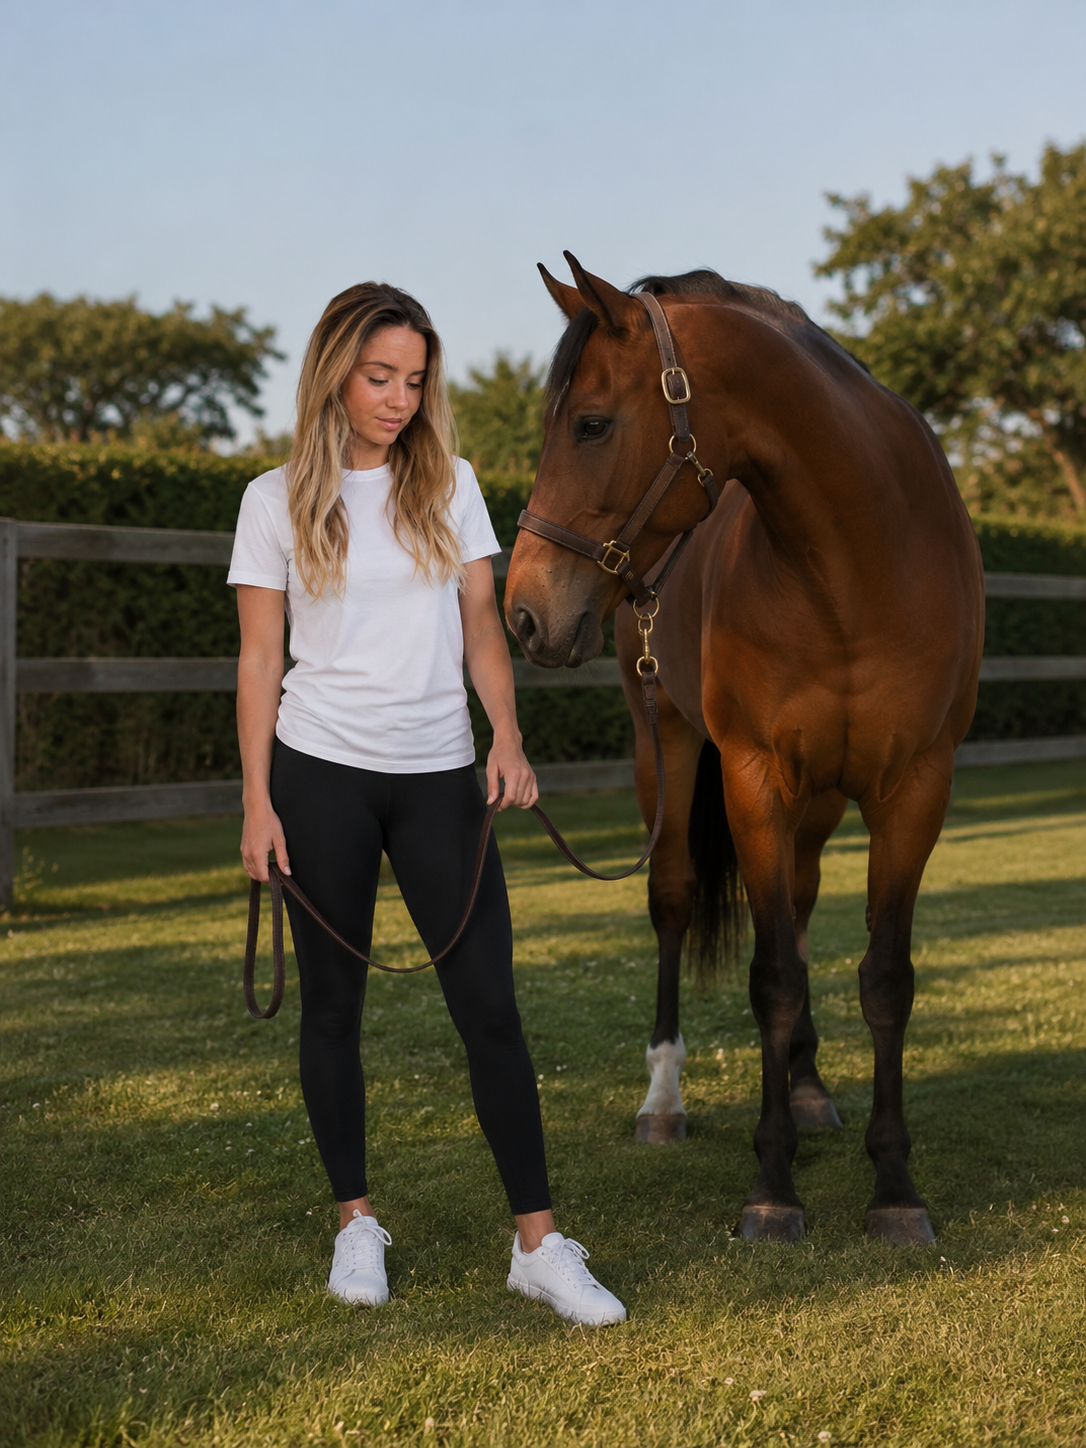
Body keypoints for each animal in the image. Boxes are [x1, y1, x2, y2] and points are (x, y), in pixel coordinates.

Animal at [504, 254, 984, 1245]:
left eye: (591, 423)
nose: (523, 611)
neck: (857, 561)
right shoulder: (757, 780)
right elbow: (771, 978)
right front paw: (772, 1187)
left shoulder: (915, 789)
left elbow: (883, 979)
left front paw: (895, 1187)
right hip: (671, 750)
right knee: (676, 901)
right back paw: (664, 1101)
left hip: (823, 799)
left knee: (797, 906)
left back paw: (805, 1086)